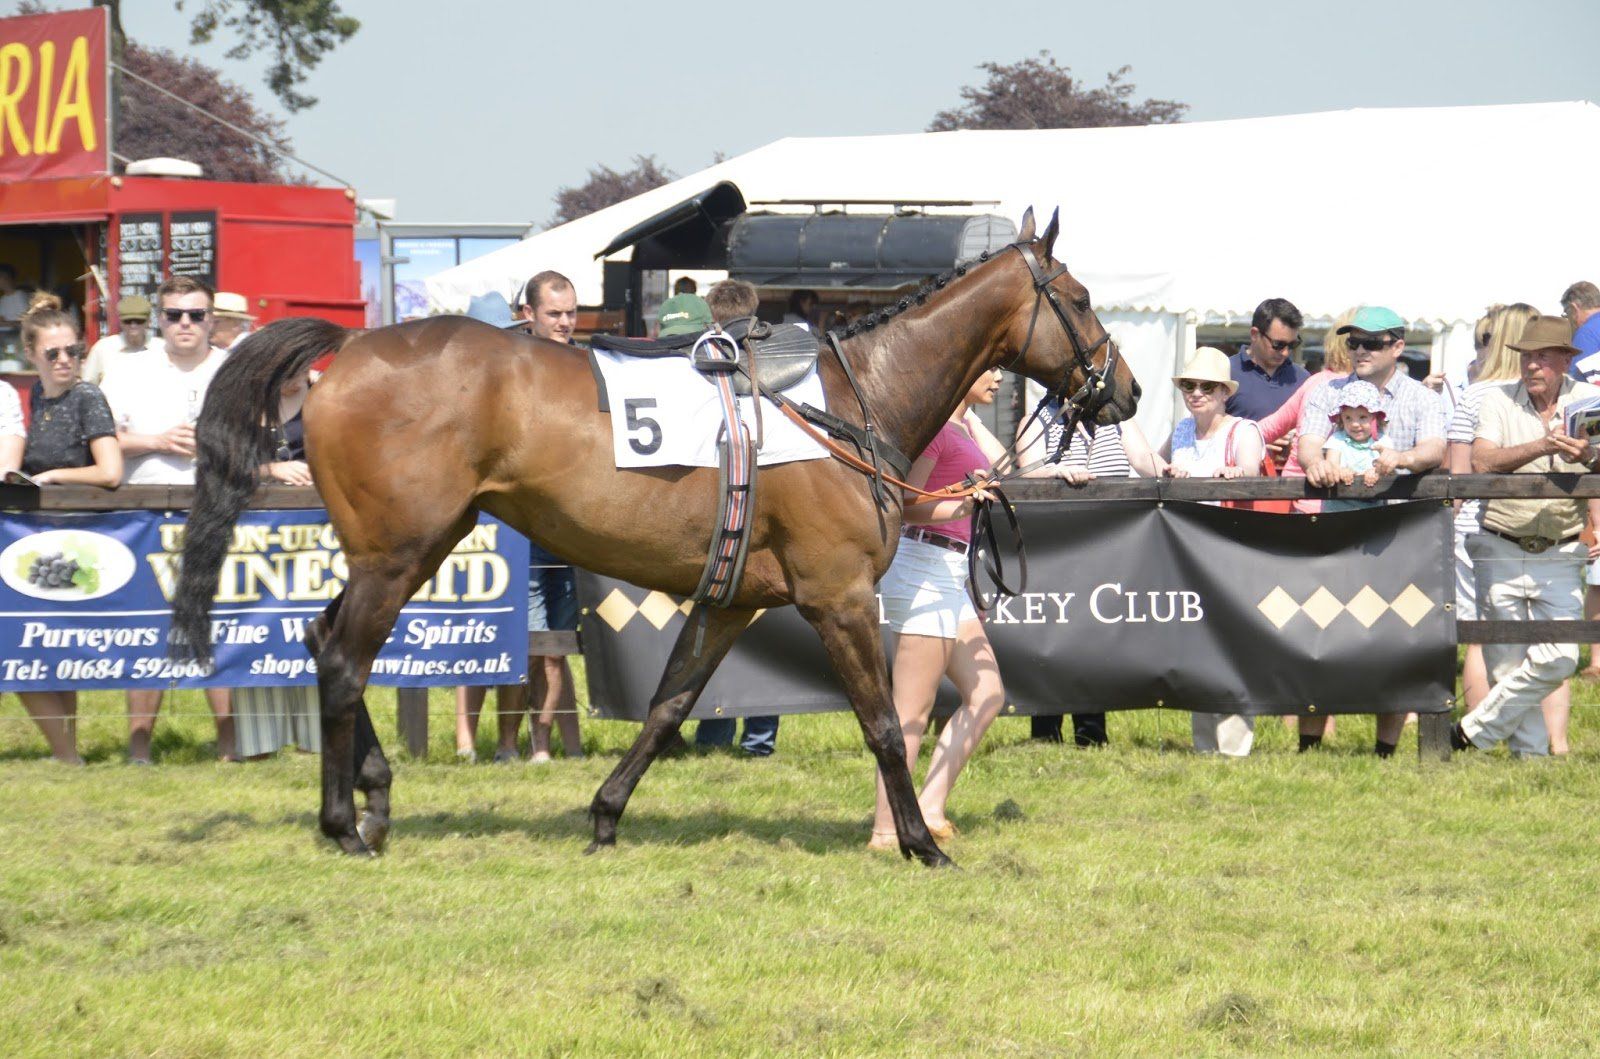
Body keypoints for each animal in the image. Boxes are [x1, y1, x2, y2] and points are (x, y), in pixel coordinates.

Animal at [171, 207, 1140, 866]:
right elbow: (882, 723)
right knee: (342, 657)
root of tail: (349, 350)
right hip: (401, 552)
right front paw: (919, 841)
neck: (849, 401)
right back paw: (346, 820)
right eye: (1081, 297)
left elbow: (672, 701)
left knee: (321, 637)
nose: (1125, 390)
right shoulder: (839, 598)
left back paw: (373, 795)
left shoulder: (733, 600)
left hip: (413, 545)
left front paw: (606, 812)